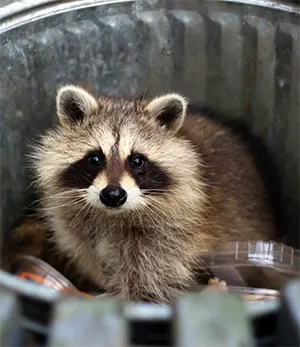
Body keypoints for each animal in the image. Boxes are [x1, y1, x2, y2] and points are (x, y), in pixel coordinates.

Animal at [30, 85, 276, 304]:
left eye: (137, 161)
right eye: (95, 158)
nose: (113, 195)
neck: (112, 216)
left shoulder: (168, 237)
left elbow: (149, 281)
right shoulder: (78, 231)